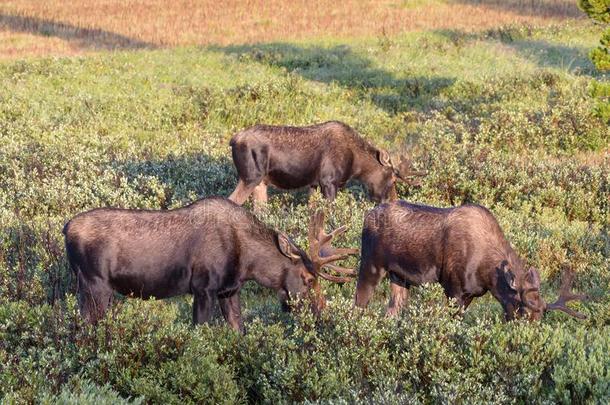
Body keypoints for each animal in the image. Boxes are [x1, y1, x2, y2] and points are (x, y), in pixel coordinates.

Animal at [63, 196, 356, 332]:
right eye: (308, 279)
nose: (322, 312)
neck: (249, 264)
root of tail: (66, 229)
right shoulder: (203, 288)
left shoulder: (229, 291)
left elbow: (239, 330)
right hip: (95, 284)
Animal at [227, 120, 422, 207]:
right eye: (393, 179)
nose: (394, 203)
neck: (356, 165)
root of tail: (233, 140)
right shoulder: (329, 182)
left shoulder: (314, 183)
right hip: (250, 177)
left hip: (261, 183)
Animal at [354, 200, 588, 320]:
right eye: (523, 313)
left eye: (541, 317)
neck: (488, 276)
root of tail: (366, 215)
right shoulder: (452, 288)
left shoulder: (470, 295)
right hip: (370, 265)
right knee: (359, 303)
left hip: (399, 277)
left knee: (392, 311)